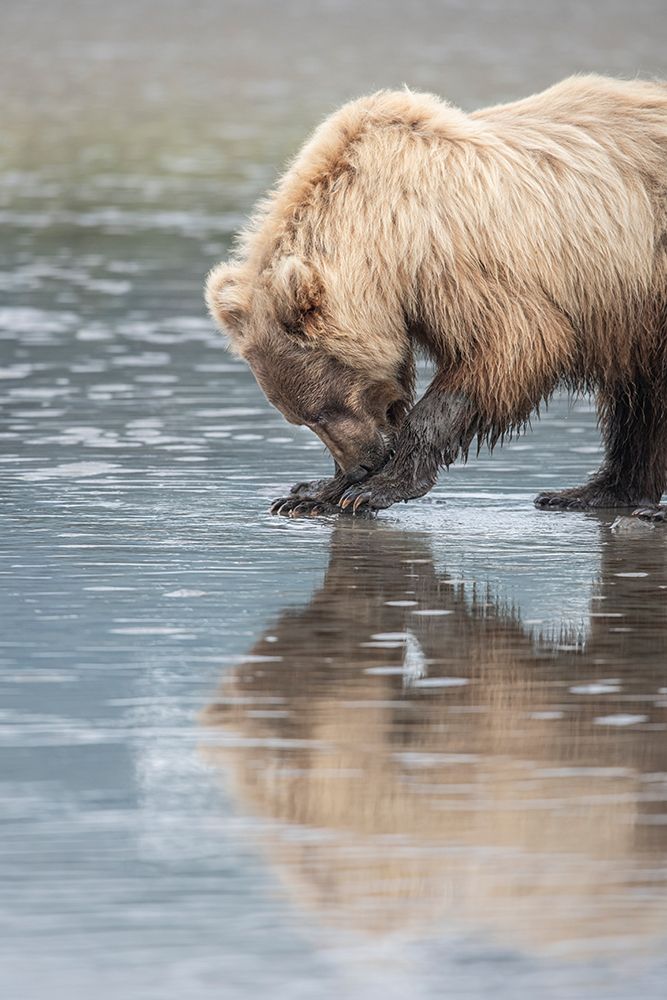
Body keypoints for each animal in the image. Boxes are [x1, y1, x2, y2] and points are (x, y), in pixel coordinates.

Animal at [206, 74, 667, 520]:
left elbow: (509, 346)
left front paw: (378, 488)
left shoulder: (454, 260)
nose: (359, 465)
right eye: (300, 418)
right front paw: (312, 493)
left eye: (322, 409)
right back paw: (591, 492)